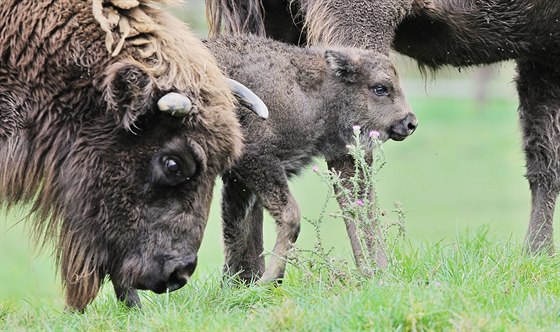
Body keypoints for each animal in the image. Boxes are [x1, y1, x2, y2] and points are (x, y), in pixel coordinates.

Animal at [203, 36, 418, 284]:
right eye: (380, 88)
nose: (410, 123)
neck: (314, 90)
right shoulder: (257, 161)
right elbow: (288, 215)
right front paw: (268, 280)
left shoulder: (239, 180)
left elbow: (236, 229)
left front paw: (233, 284)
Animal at [207, 0, 560, 253]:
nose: (410, 123)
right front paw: (539, 255)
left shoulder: (541, 55)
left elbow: (543, 157)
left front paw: (536, 255)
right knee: (352, 163)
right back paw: (376, 270)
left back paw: (244, 282)